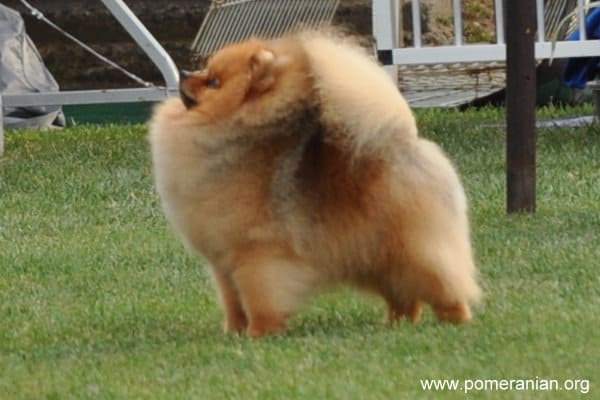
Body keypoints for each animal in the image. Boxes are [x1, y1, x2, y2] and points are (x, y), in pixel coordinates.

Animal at [149, 32, 482, 338]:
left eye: (214, 83)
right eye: (205, 71)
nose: (185, 73)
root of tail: (403, 142)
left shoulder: (257, 254)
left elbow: (259, 299)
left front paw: (259, 334)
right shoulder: (223, 262)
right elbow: (233, 303)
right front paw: (234, 333)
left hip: (411, 248)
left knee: (442, 281)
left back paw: (456, 319)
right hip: (377, 255)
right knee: (405, 295)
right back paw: (394, 324)